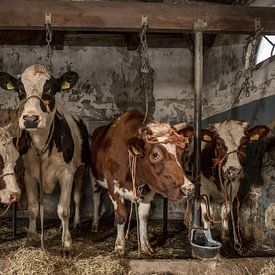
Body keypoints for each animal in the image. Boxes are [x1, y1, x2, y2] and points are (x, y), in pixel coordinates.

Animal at [0, 64, 90, 252]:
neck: (42, 145)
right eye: (20, 91)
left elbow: (63, 209)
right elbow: (34, 208)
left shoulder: (67, 174)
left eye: (49, 90)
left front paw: (67, 243)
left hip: (81, 170)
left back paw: (76, 225)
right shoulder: (29, 175)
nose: (30, 119)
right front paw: (31, 237)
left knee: (77, 198)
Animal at [90, 110, 194, 256]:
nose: (189, 188)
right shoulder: (113, 187)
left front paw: (145, 246)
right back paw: (95, 224)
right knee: (96, 198)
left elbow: (143, 216)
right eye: (155, 155)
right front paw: (120, 247)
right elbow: (121, 216)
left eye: (182, 151)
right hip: (93, 176)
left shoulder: (148, 190)